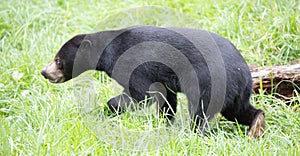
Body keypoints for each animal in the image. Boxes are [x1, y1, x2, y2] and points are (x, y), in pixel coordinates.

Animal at [41, 25, 264, 138]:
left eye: (58, 60)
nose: (44, 72)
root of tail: (244, 72)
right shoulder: (162, 78)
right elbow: (166, 98)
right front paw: (165, 122)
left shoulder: (134, 64)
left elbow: (141, 95)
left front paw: (107, 109)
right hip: (235, 92)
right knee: (238, 111)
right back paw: (257, 125)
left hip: (210, 81)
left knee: (201, 110)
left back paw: (194, 133)